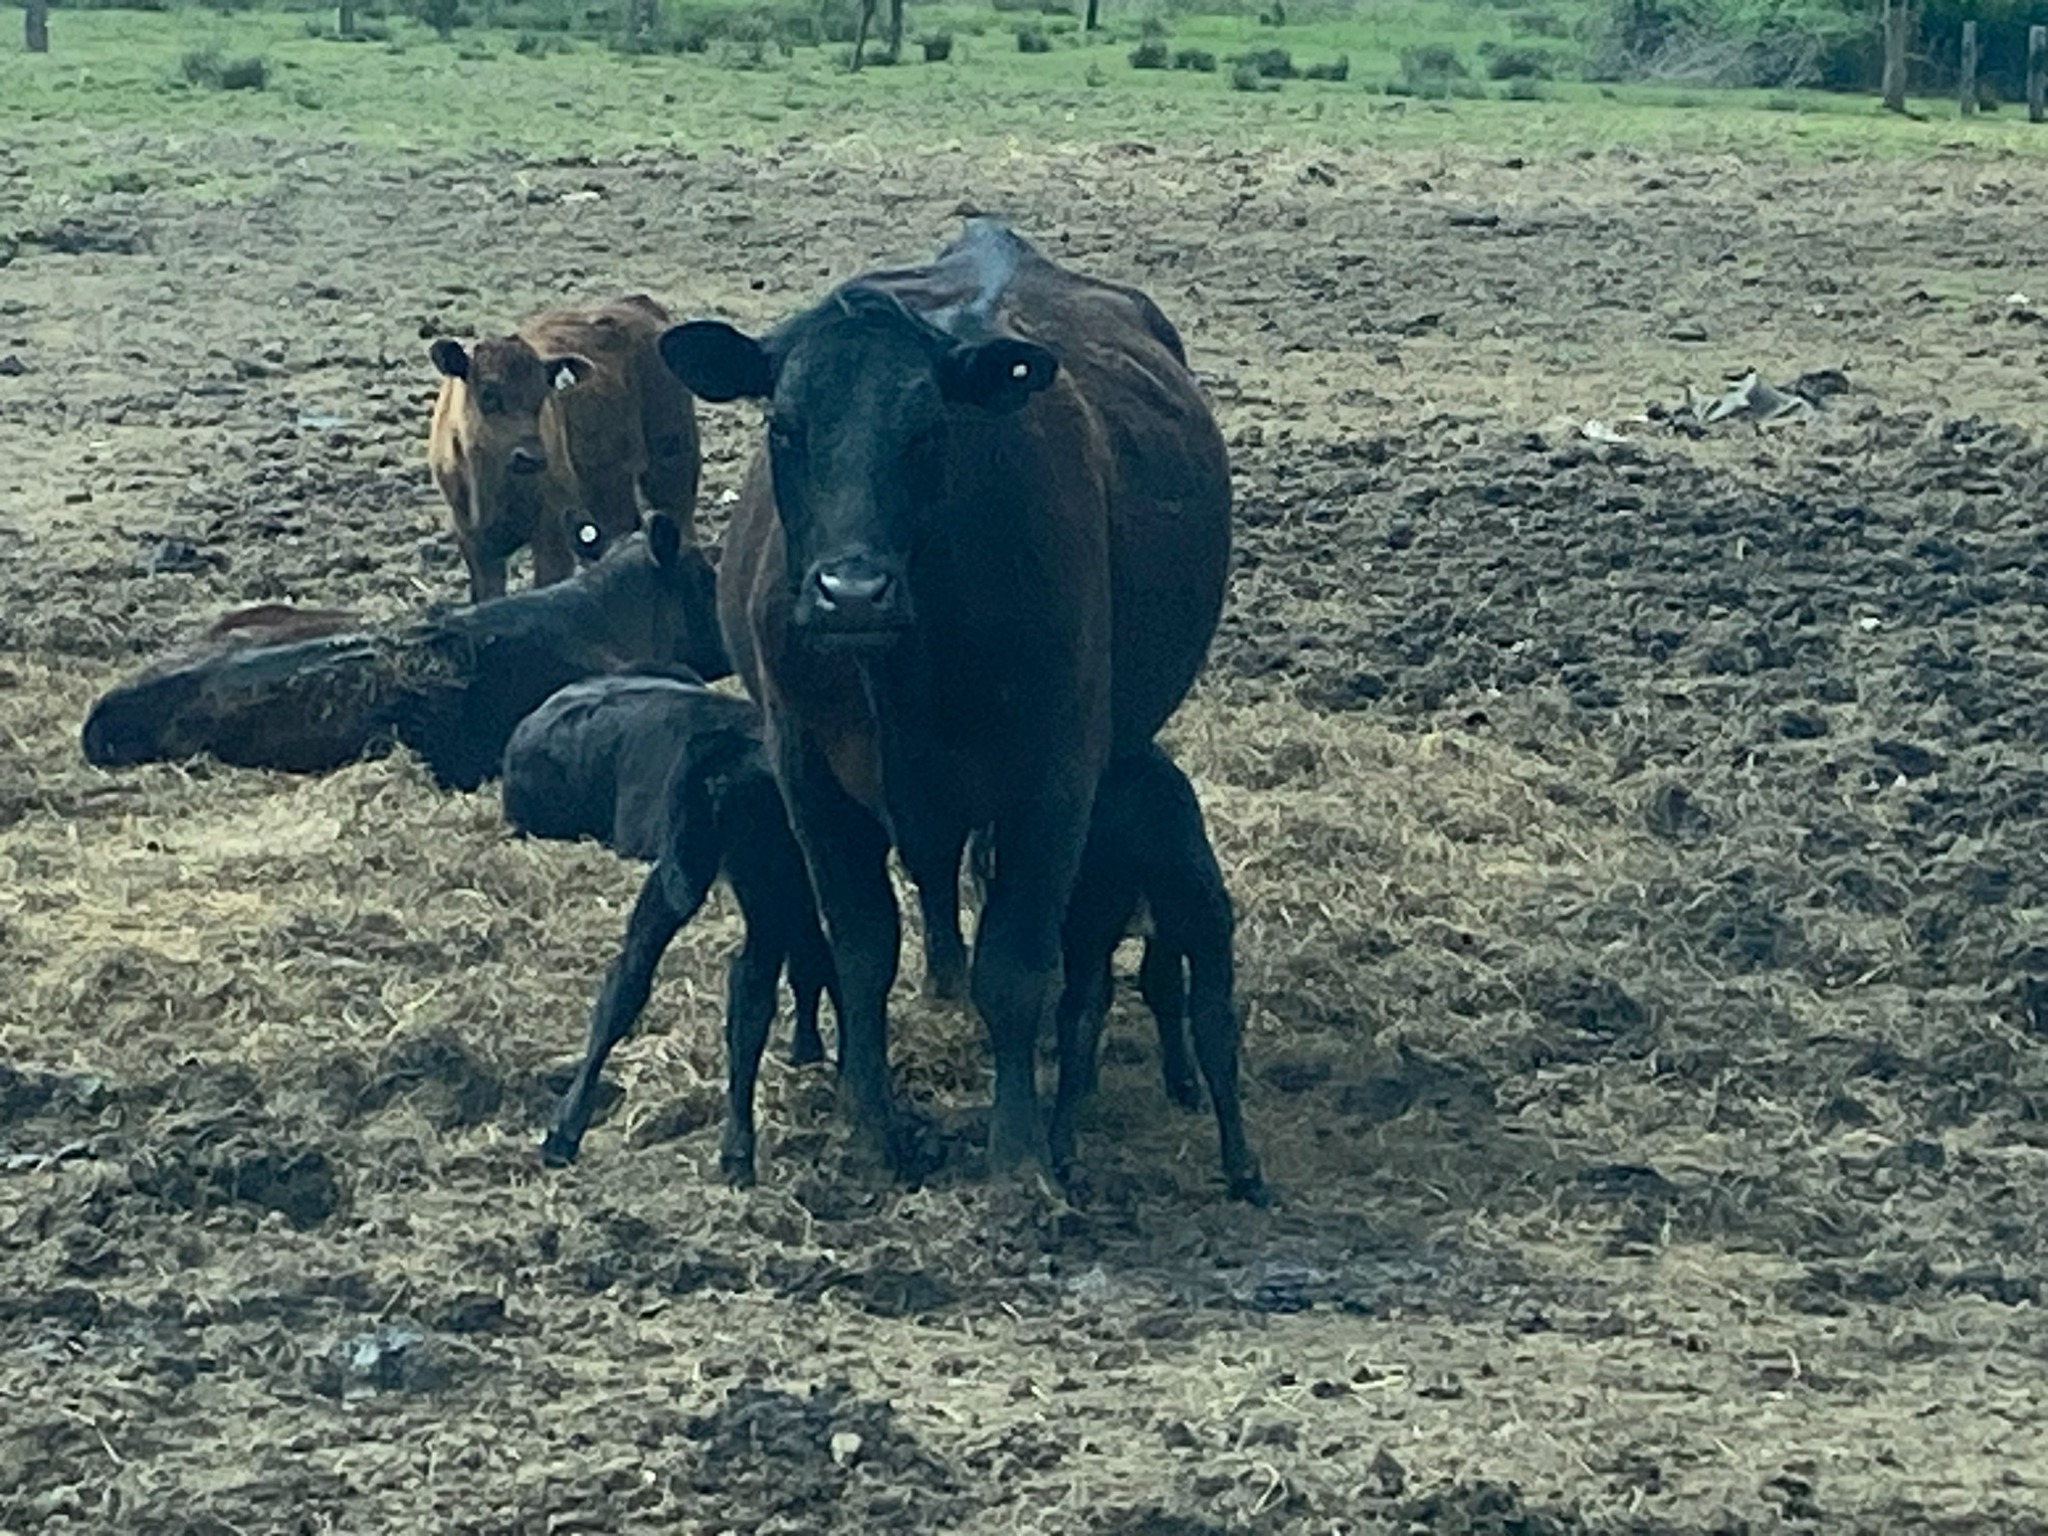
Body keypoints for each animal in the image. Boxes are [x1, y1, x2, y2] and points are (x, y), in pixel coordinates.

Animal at [427, 294, 701, 604]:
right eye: (488, 393)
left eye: (543, 394)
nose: (530, 457)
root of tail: (638, 305)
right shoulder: (474, 543)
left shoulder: (553, 531)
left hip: (672, 459)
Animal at [661, 216, 1251, 1193]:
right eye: (784, 425)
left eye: (927, 430)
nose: (851, 592)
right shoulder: (807, 766)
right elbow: (863, 949)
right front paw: (869, 1129)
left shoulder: (1055, 775)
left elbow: (1016, 966)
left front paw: (1017, 1157)